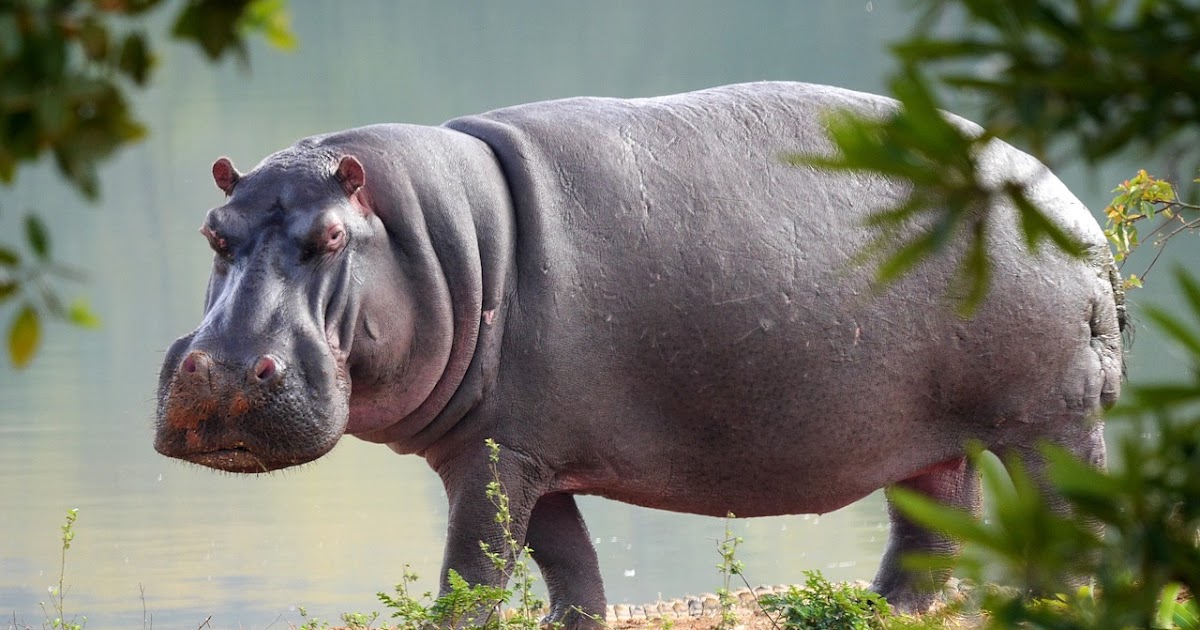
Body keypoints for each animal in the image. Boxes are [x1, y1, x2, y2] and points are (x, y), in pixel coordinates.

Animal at [155, 82, 1124, 626]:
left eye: (328, 238)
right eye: (212, 230)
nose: (226, 371)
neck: (434, 238)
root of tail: (1075, 213)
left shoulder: (497, 456)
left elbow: (474, 566)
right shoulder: (517, 449)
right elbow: (566, 561)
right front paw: (573, 627)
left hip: (1050, 420)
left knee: (1068, 518)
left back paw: (1048, 604)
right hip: (930, 438)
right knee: (931, 526)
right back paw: (876, 610)